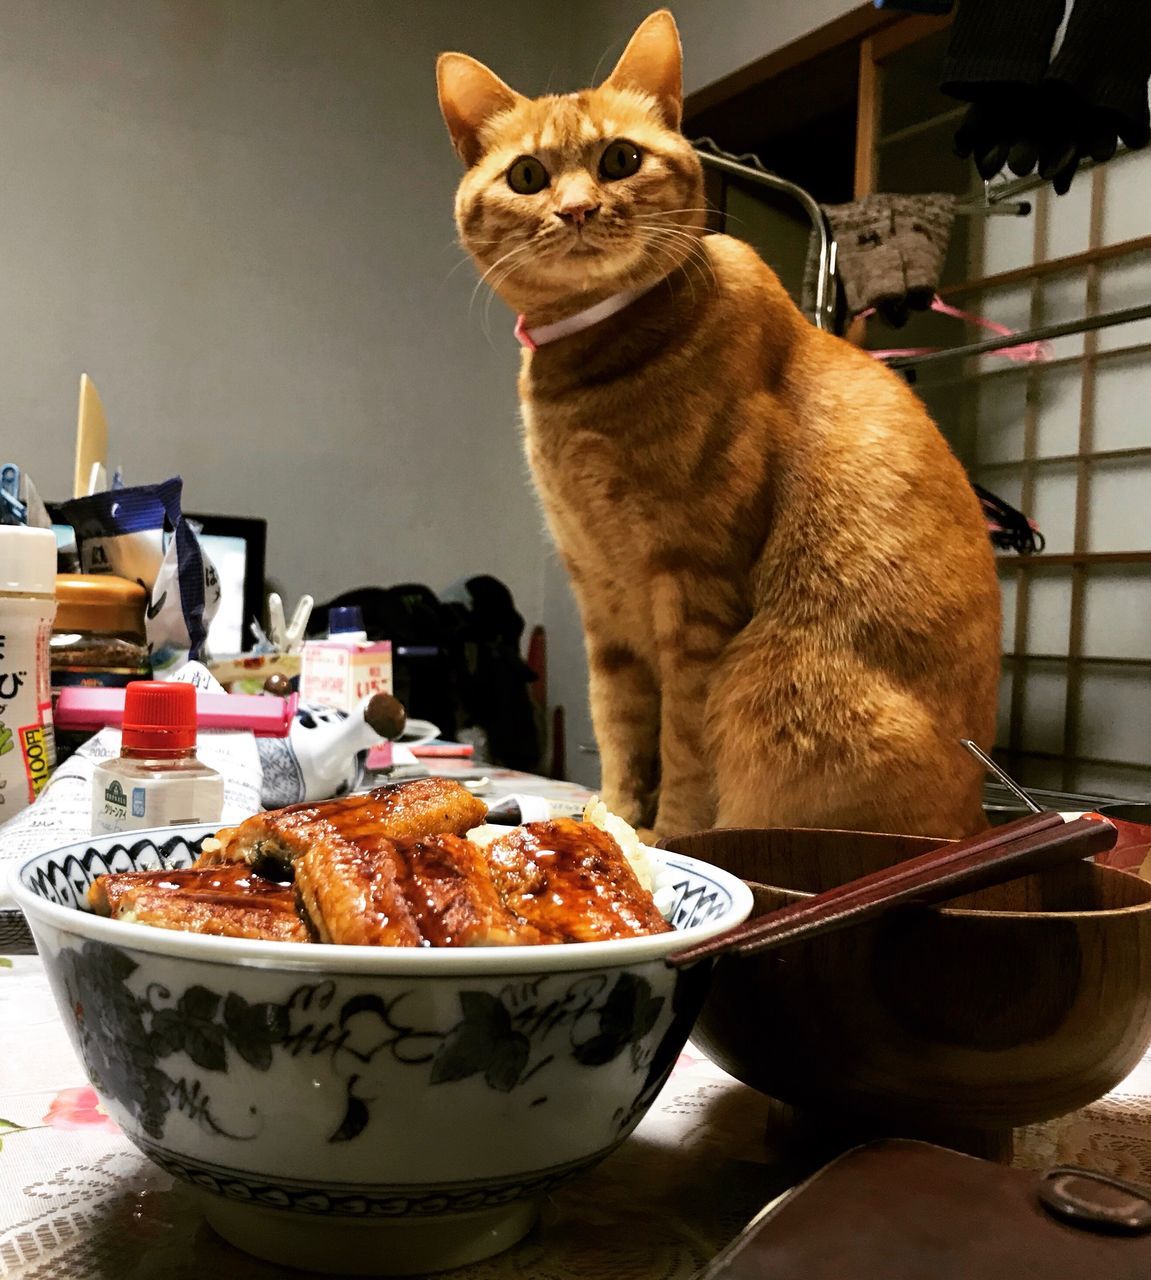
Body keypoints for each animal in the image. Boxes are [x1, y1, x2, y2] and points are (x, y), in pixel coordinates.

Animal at [437, 15, 1003, 844]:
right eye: (528, 177)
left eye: (619, 159)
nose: (575, 211)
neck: (589, 359)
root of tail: (975, 821)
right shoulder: (599, 595)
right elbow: (619, 727)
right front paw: (613, 818)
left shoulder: (693, 584)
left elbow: (683, 743)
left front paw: (665, 839)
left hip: (768, 676)